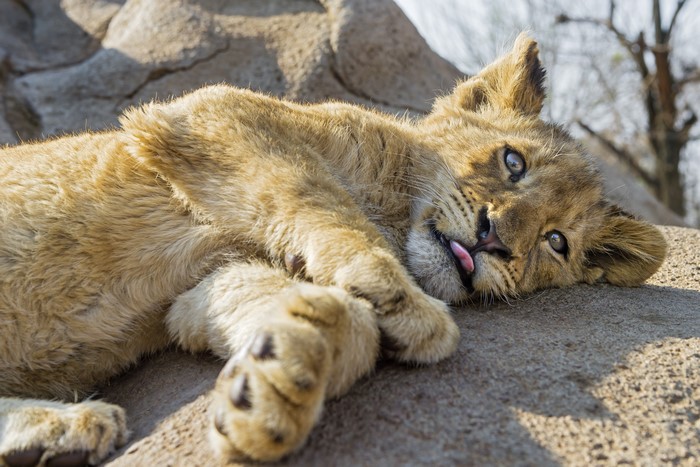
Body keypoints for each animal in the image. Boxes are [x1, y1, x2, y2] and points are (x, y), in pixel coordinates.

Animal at [0, 34, 666, 466]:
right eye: (513, 161)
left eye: (556, 242)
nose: (494, 238)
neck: (395, 208)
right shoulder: (209, 113)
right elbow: (316, 195)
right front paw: (405, 303)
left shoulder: (197, 290)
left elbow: (290, 305)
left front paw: (277, 383)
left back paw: (61, 431)